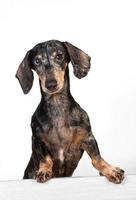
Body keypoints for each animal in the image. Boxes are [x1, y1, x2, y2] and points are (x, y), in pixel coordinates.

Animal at [15, 39, 124, 184]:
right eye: (37, 61)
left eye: (59, 56)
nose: (51, 84)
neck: (57, 106)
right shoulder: (37, 140)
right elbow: (45, 159)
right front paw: (44, 170)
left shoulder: (88, 137)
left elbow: (97, 159)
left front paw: (110, 170)